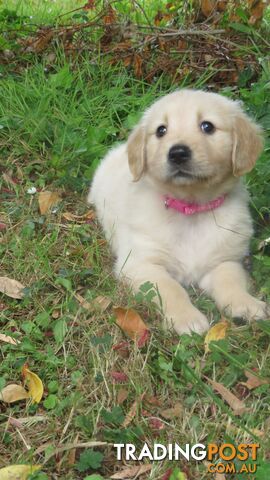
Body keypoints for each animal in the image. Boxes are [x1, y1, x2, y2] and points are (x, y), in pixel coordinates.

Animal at [88, 90, 268, 334]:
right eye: (161, 130)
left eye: (207, 126)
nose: (178, 153)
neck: (191, 209)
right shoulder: (141, 263)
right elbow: (170, 287)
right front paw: (187, 318)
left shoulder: (224, 261)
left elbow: (230, 281)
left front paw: (246, 304)